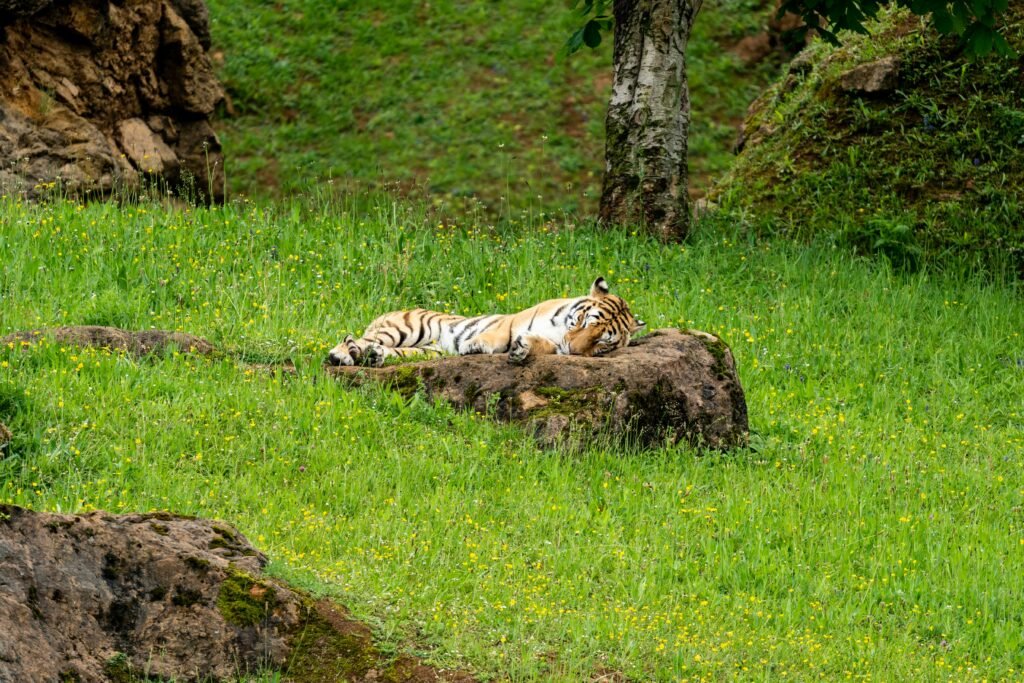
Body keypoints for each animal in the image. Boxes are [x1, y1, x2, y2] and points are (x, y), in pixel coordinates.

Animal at [326, 277, 645, 367]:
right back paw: (342, 355)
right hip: (407, 328)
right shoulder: (512, 321)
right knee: (355, 340)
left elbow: (539, 345)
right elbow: (494, 336)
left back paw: (373, 357)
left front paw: (522, 350)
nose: (575, 351)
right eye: (585, 322)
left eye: (603, 343)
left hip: (426, 350)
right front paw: (475, 345)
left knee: (381, 350)